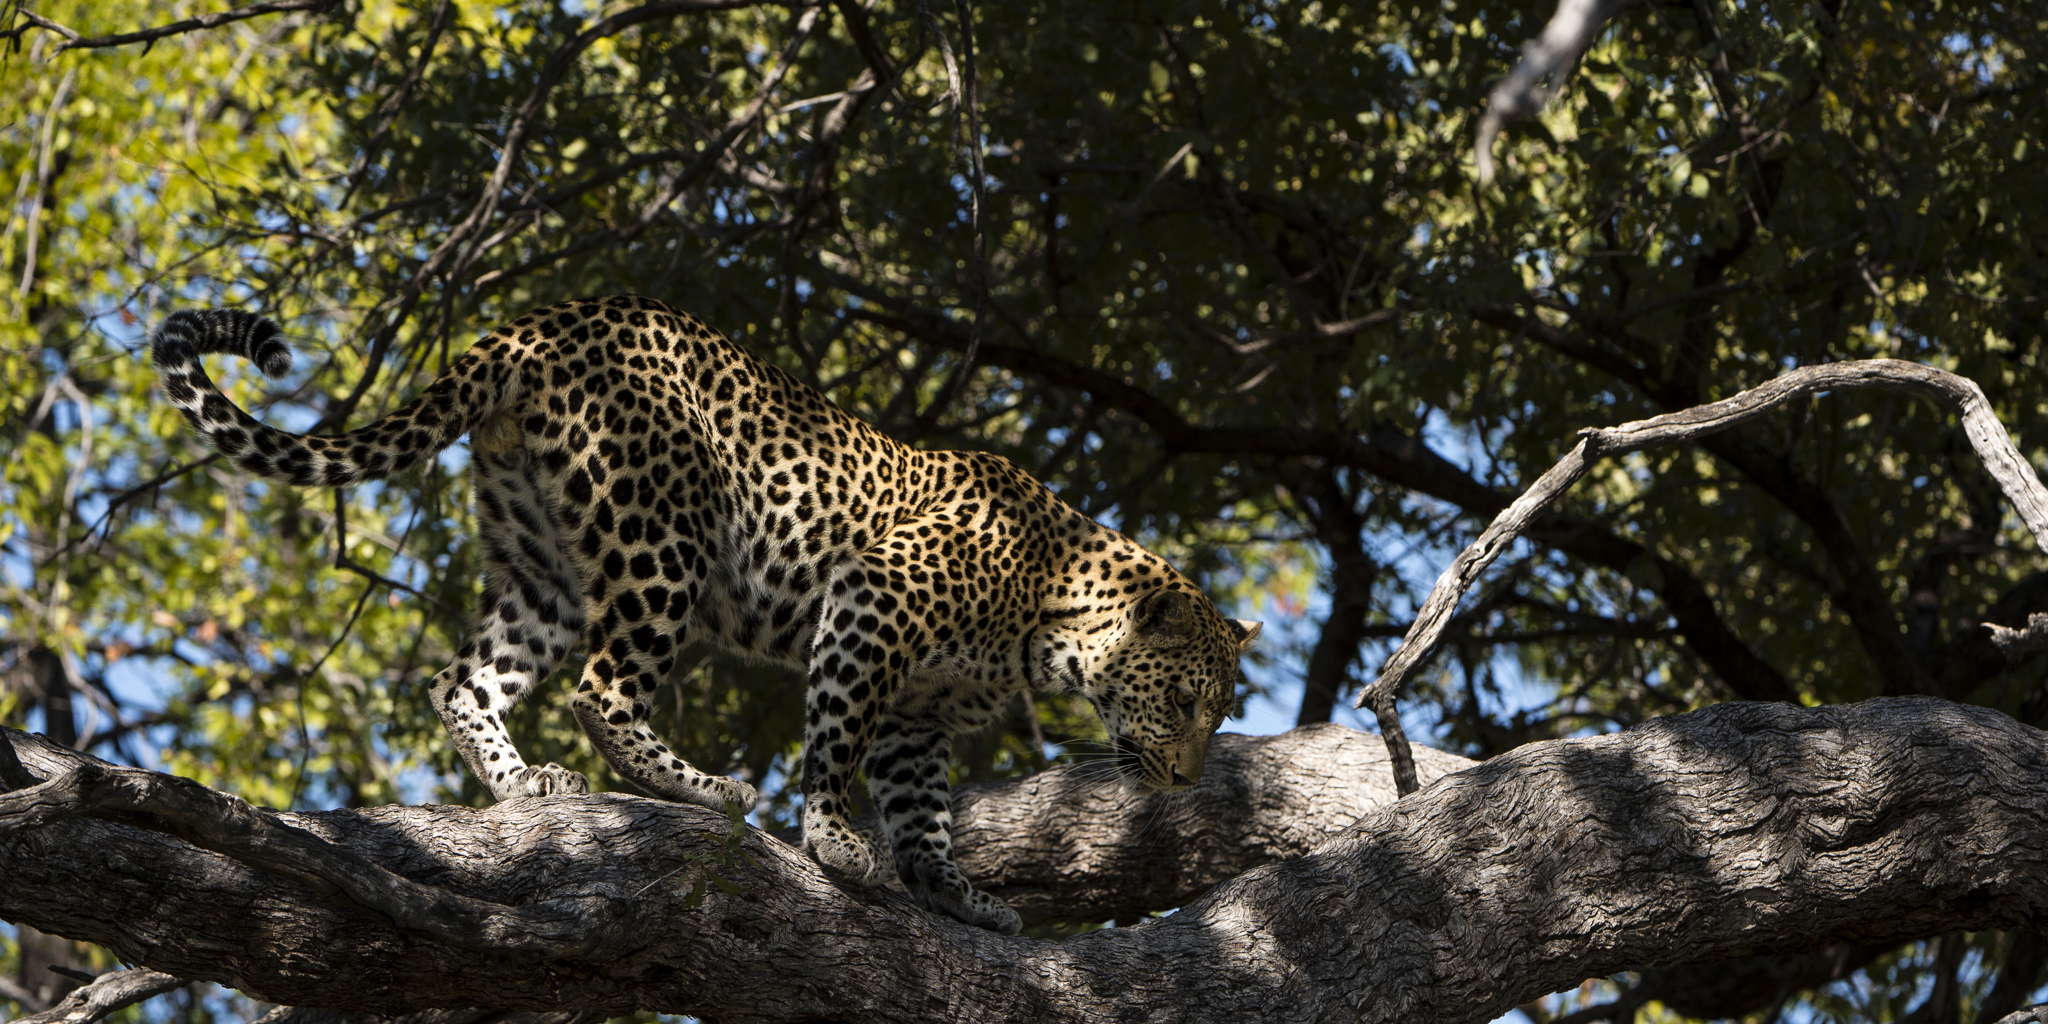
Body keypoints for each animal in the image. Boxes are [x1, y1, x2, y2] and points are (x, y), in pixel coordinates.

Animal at [148, 294, 1261, 934]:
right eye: (1188, 702)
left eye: (1217, 713)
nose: (1185, 778)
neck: (1051, 614)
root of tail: (536, 321)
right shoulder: (872, 602)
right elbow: (834, 743)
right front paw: (833, 841)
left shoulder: (918, 715)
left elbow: (924, 812)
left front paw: (955, 892)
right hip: (657, 537)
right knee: (602, 687)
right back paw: (700, 787)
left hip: (544, 565)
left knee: (463, 677)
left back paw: (526, 786)